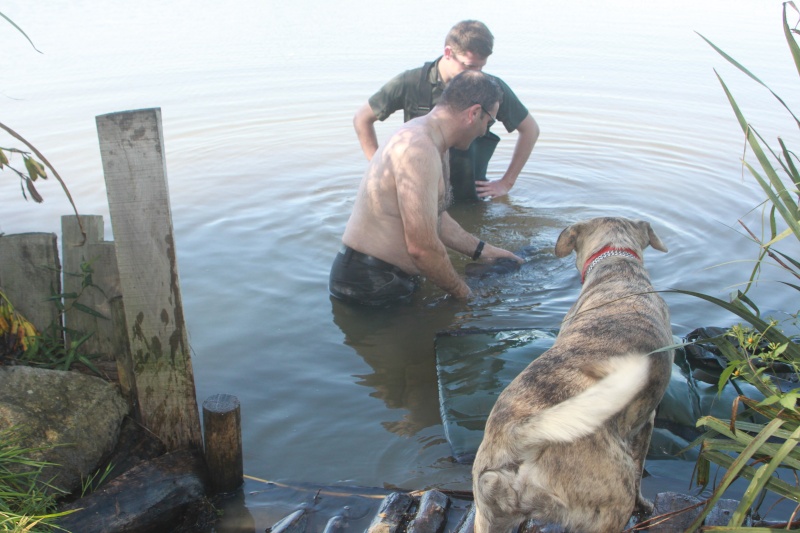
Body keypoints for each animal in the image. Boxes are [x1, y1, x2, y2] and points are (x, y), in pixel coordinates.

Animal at [472, 217, 672, 532]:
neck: (616, 268)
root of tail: (520, 437)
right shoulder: (646, 423)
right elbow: (641, 471)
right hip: (611, 505)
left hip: (488, 512)